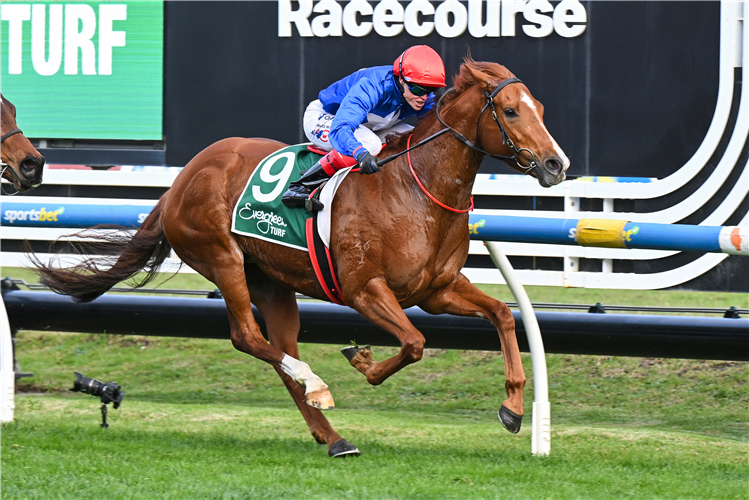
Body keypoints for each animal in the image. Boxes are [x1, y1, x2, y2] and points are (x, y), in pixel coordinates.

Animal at [31, 59, 569, 457]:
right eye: (510, 111)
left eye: (540, 108)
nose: (556, 164)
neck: (414, 189)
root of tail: (181, 179)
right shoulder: (364, 290)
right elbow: (415, 343)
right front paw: (362, 360)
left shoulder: (435, 290)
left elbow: (502, 315)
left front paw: (513, 408)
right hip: (222, 258)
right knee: (248, 337)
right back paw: (318, 385)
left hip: (272, 281)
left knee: (280, 349)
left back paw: (332, 435)